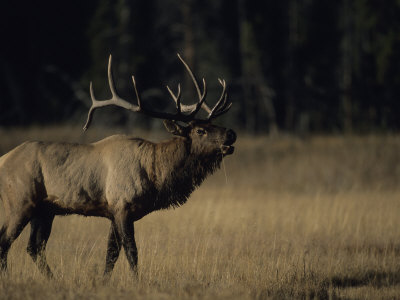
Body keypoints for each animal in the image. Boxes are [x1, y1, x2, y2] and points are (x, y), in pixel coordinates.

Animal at [0, 54, 236, 278]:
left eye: (213, 124)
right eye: (200, 130)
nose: (231, 133)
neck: (155, 174)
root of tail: (3, 159)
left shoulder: (113, 211)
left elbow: (111, 254)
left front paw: (104, 282)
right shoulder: (122, 206)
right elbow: (131, 252)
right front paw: (136, 282)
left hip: (45, 210)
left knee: (34, 247)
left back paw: (53, 279)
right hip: (20, 202)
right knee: (5, 242)